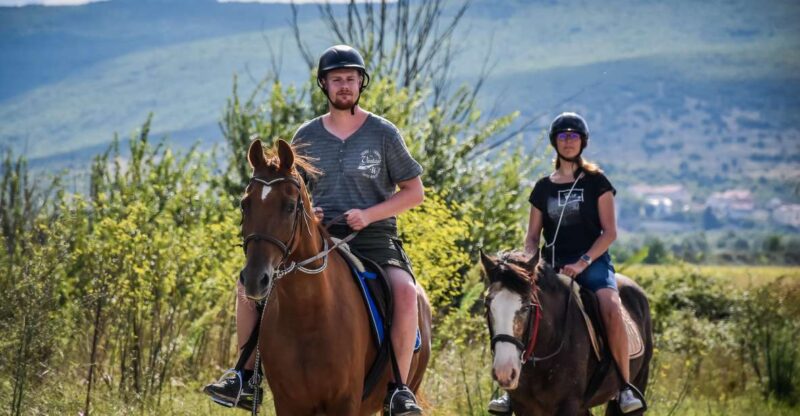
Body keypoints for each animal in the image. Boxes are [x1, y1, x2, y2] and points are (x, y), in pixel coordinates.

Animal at [239, 138, 432, 415]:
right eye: (245, 204)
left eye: (289, 207)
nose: (255, 279)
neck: (307, 314)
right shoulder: (287, 402)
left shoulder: (345, 401)